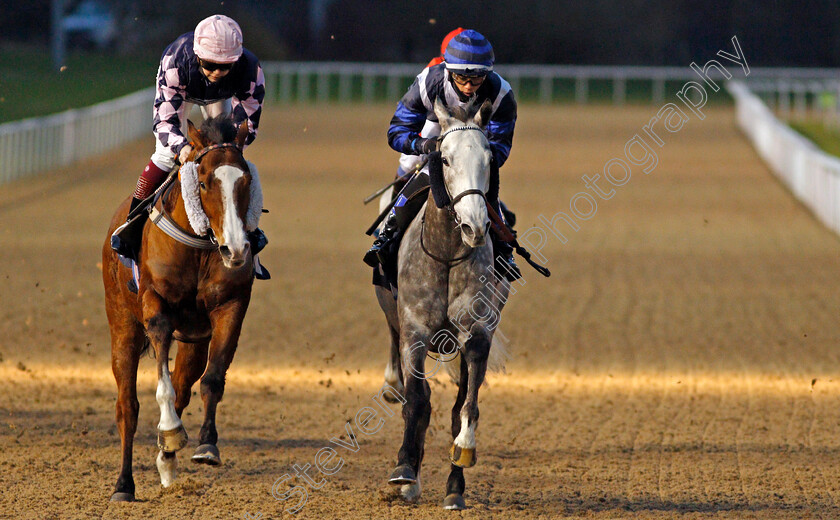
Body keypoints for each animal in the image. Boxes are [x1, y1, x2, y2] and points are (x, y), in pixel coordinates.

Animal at [105, 117, 260, 500]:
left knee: (184, 384)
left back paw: (166, 461)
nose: (236, 248)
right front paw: (171, 432)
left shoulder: (231, 306)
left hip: (193, 341)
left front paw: (205, 445)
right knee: (127, 406)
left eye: (246, 181)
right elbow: (162, 384)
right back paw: (124, 485)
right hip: (122, 326)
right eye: (203, 182)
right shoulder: (155, 305)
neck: (201, 249)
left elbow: (213, 378)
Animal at [376, 97, 512, 512]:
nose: (475, 226)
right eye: (446, 159)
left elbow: (464, 407)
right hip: (390, 309)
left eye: (489, 158)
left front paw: (459, 471)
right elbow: (418, 404)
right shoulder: (415, 332)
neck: (448, 253)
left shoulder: (478, 334)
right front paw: (405, 470)